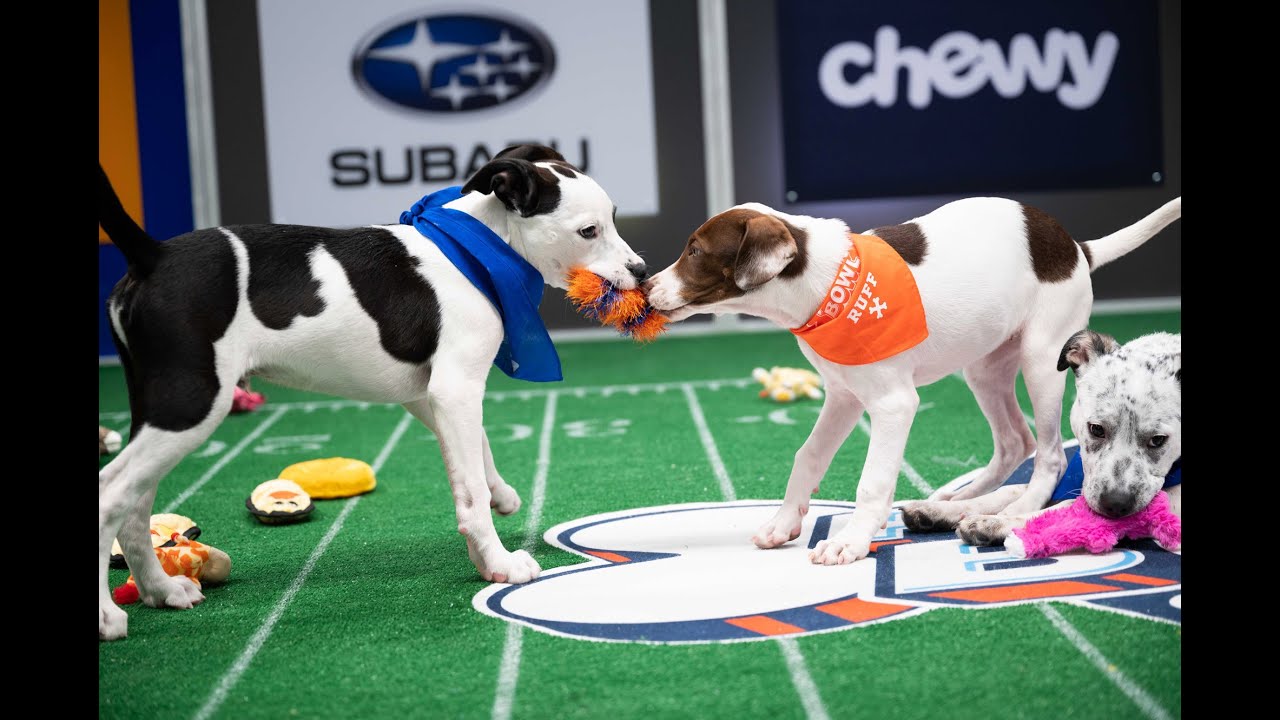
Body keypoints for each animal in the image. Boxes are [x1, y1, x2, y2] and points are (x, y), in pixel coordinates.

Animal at [97, 142, 650, 635]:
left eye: (614, 218)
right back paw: (108, 617)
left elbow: (478, 452)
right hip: (192, 403)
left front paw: (501, 496)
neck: (477, 250)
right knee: (111, 495)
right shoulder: (454, 388)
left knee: (135, 508)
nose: (642, 271)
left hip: (159, 408)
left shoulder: (427, 395)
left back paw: (161, 590)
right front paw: (497, 563)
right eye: (588, 231)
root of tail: (153, 255)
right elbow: (469, 493)